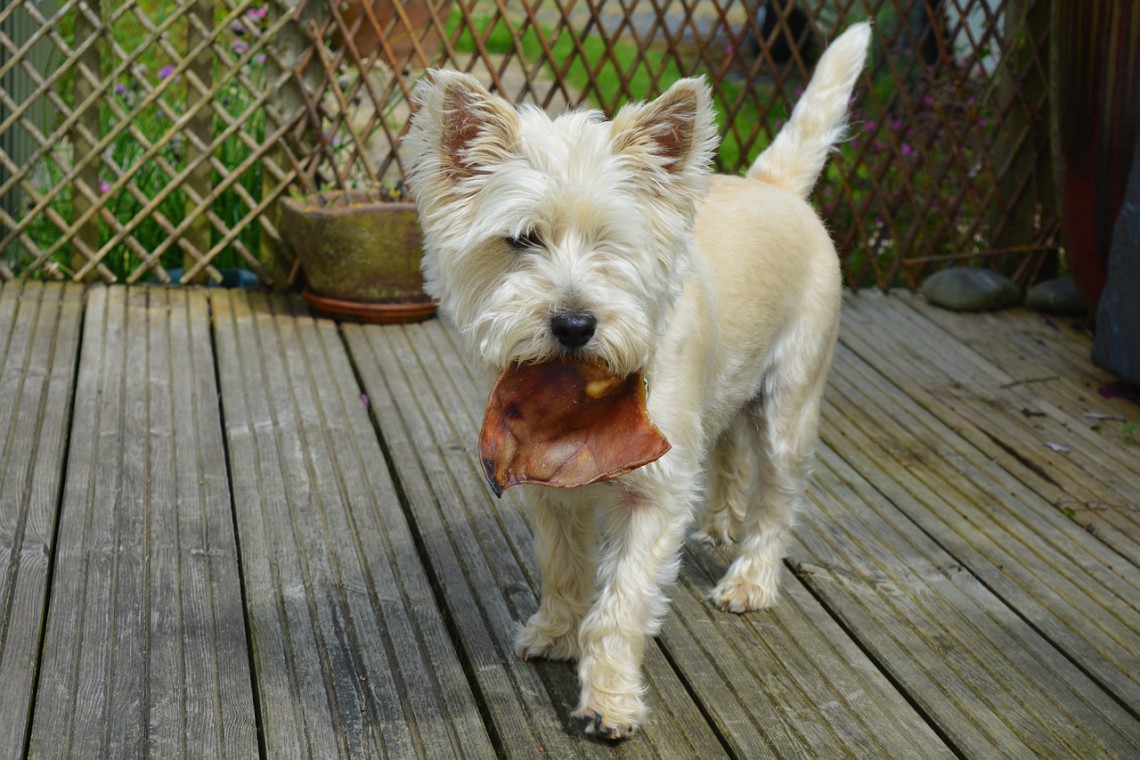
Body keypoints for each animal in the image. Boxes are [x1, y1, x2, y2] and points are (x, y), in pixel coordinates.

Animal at [405, 22, 866, 738]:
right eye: (521, 239)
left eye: (611, 242)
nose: (573, 324)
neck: (581, 400)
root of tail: (776, 187)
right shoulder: (549, 487)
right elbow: (561, 565)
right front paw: (555, 632)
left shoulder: (655, 492)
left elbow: (621, 604)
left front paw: (609, 702)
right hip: (728, 392)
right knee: (729, 454)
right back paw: (720, 525)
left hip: (789, 401)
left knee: (777, 496)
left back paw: (750, 580)